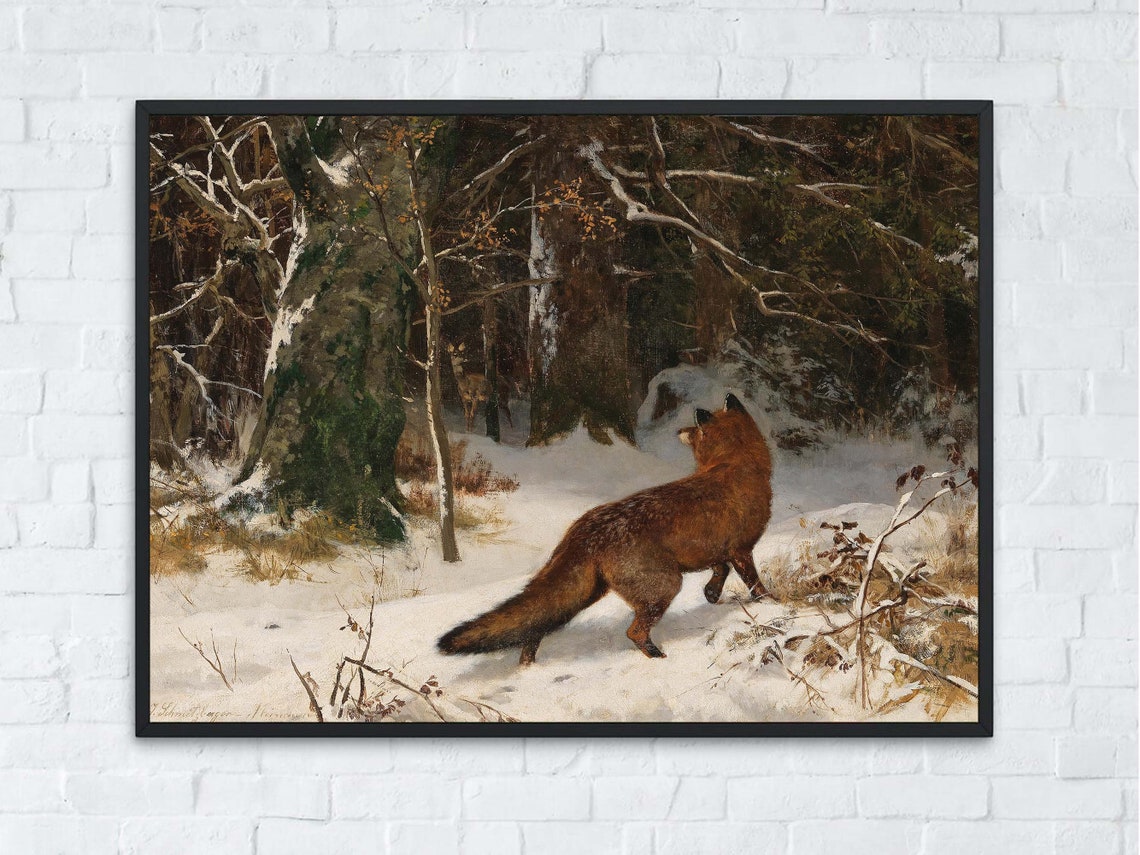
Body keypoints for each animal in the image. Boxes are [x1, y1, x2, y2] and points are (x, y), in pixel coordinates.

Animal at [437, 393, 773, 664]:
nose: (679, 431)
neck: (735, 465)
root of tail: (584, 528)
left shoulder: (717, 549)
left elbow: (720, 570)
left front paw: (712, 594)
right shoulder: (741, 550)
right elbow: (754, 585)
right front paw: (771, 603)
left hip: (585, 593)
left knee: (535, 627)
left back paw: (526, 668)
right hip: (664, 587)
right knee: (633, 632)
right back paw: (657, 656)